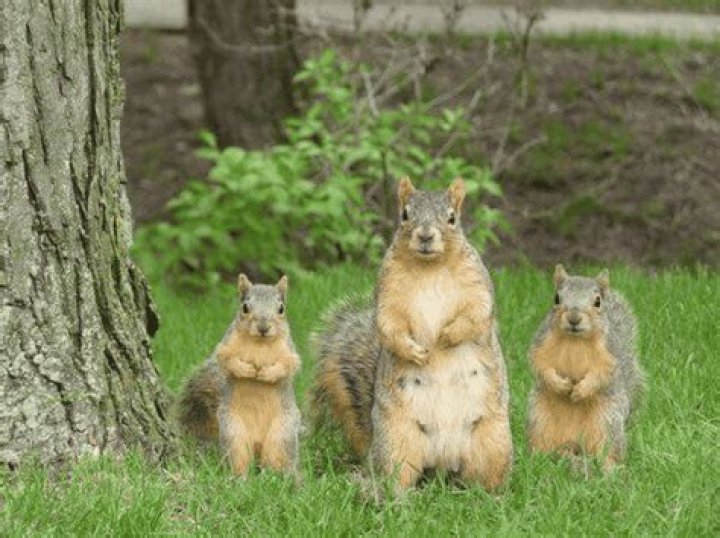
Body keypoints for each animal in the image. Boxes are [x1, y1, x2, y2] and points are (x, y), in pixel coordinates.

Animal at [178, 274, 301, 478]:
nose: (263, 327)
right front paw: (247, 370)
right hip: (233, 431)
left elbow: (289, 366)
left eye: (281, 309)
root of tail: (258, 442)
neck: (260, 342)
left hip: (282, 433)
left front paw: (267, 373)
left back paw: (276, 477)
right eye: (245, 307)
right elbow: (227, 360)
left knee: (275, 456)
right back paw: (240, 477)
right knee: (239, 455)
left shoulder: (289, 351)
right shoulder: (227, 345)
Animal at [311, 177, 513, 492]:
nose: (426, 236)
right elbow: (388, 325)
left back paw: (493, 495)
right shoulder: (388, 292)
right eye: (405, 214)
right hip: (398, 440)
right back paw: (396, 495)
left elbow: (477, 314)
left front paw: (448, 335)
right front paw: (415, 351)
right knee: (398, 474)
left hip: (493, 443)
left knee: (485, 477)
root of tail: (443, 463)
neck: (431, 267)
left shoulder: (478, 286)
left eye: (452, 218)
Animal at [527, 264, 644, 471]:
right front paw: (559, 384)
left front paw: (581, 390)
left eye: (598, 302)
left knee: (607, 452)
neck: (576, 340)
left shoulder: (611, 355)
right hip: (539, 420)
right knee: (542, 446)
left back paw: (609, 469)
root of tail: (573, 440)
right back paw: (537, 461)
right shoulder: (540, 343)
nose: (573, 318)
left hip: (606, 423)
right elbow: (540, 365)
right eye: (556, 298)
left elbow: (602, 375)